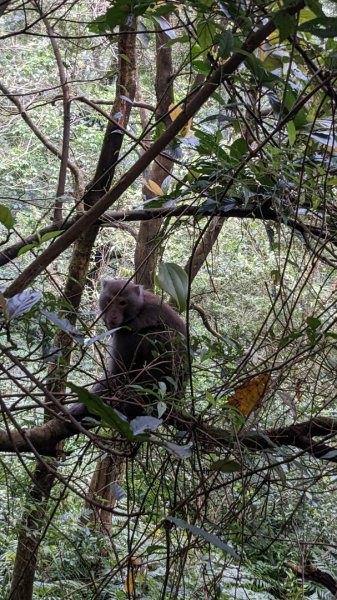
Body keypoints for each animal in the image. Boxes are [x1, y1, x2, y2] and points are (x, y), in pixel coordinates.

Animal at [71, 278, 186, 422]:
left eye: (122, 303)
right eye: (109, 300)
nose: (113, 315)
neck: (138, 308)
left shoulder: (126, 331)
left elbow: (118, 375)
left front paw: (82, 407)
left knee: (154, 335)